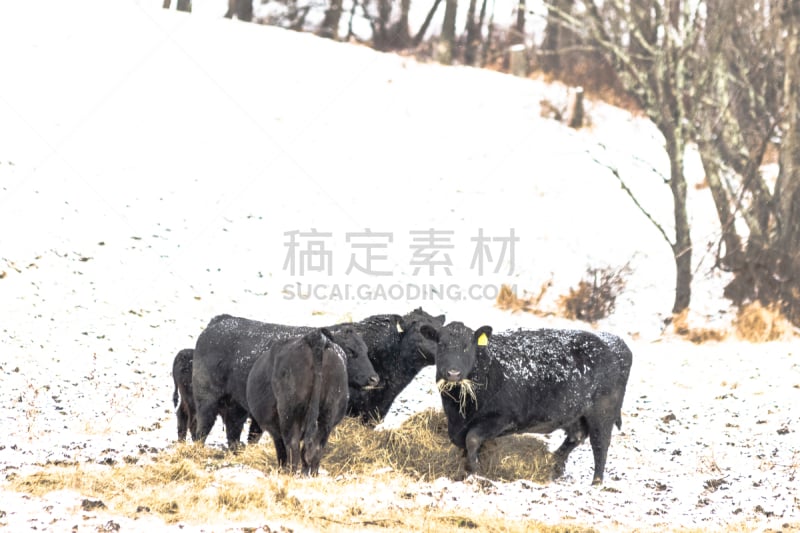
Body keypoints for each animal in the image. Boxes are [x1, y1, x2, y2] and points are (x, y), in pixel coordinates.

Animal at [195, 314, 382, 446]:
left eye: (366, 350)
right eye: (350, 351)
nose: (374, 378)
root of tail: (220, 321)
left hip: (236, 405)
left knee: (233, 432)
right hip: (207, 399)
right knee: (202, 429)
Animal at [245, 328, 348, 474]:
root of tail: (314, 337)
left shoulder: (275, 430)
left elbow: (282, 452)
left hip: (289, 411)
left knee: (293, 446)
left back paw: (290, 473)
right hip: (330, 410)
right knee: (316, 448)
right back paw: (312, 474)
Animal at [434, 322, 636, 484]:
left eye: (467, 346)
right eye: (441, 345)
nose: (453, 373)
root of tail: (612, 341)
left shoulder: (501, 418)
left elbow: (472, 439)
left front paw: (474, 470)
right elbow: (463, 441)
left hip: (602, 414)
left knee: (600, 444)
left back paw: (596, 482)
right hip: (574, 413)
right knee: (576, 436)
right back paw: (554, 465)